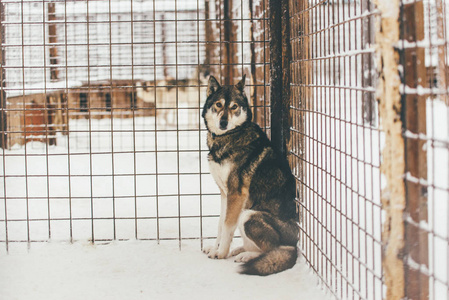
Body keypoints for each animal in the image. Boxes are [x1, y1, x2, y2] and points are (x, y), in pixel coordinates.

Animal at [201, 74, 300, 276]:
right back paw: (240, 250)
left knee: (273, 249)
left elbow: (227, 226)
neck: (230, 135)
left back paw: (246, 256)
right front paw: (215, 247)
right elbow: (220, 224)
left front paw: (220, 253)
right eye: (218, 105)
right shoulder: (225, 194)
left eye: (234, 107)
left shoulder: (236, 195)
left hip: (248, 215)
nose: (223, 123)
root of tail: (295, 244)